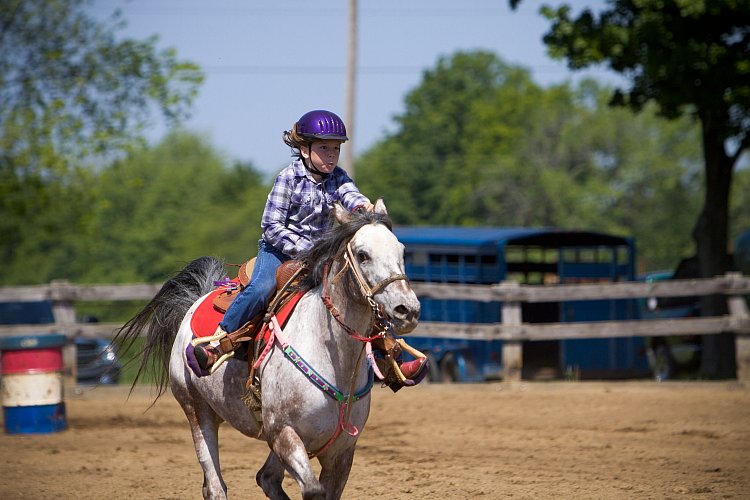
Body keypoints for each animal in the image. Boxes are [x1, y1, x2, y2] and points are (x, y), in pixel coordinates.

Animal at [117, 201, 424, 498]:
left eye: (401, 251)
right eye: (362, 255)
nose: (407, 309)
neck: (335, 360)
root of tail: (198, 300)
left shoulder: (341, 453)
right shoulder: (284, 434)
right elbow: (312, 490)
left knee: (265, 478)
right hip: (196, 409)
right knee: (216, 486)